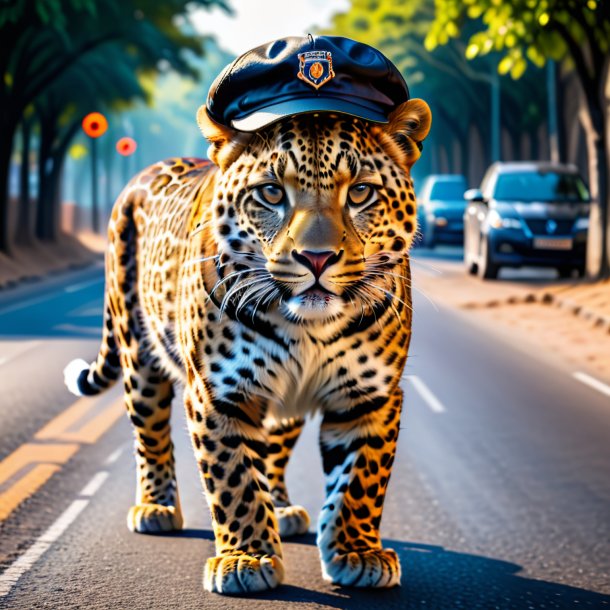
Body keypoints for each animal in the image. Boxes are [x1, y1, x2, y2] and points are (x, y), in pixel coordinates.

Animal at [64, 98, 430, 592]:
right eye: (271, 193)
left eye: (360, 193)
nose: (317, 258)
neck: (309, 328)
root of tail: (143, 175)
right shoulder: (221, 394)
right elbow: (234, 478)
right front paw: (246, 558)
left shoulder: (371, 396)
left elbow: (360, 480)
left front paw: (357, 552)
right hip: (137, 352)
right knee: (150, 432)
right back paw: (156, 506)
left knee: (273, 447)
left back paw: (282, 507)